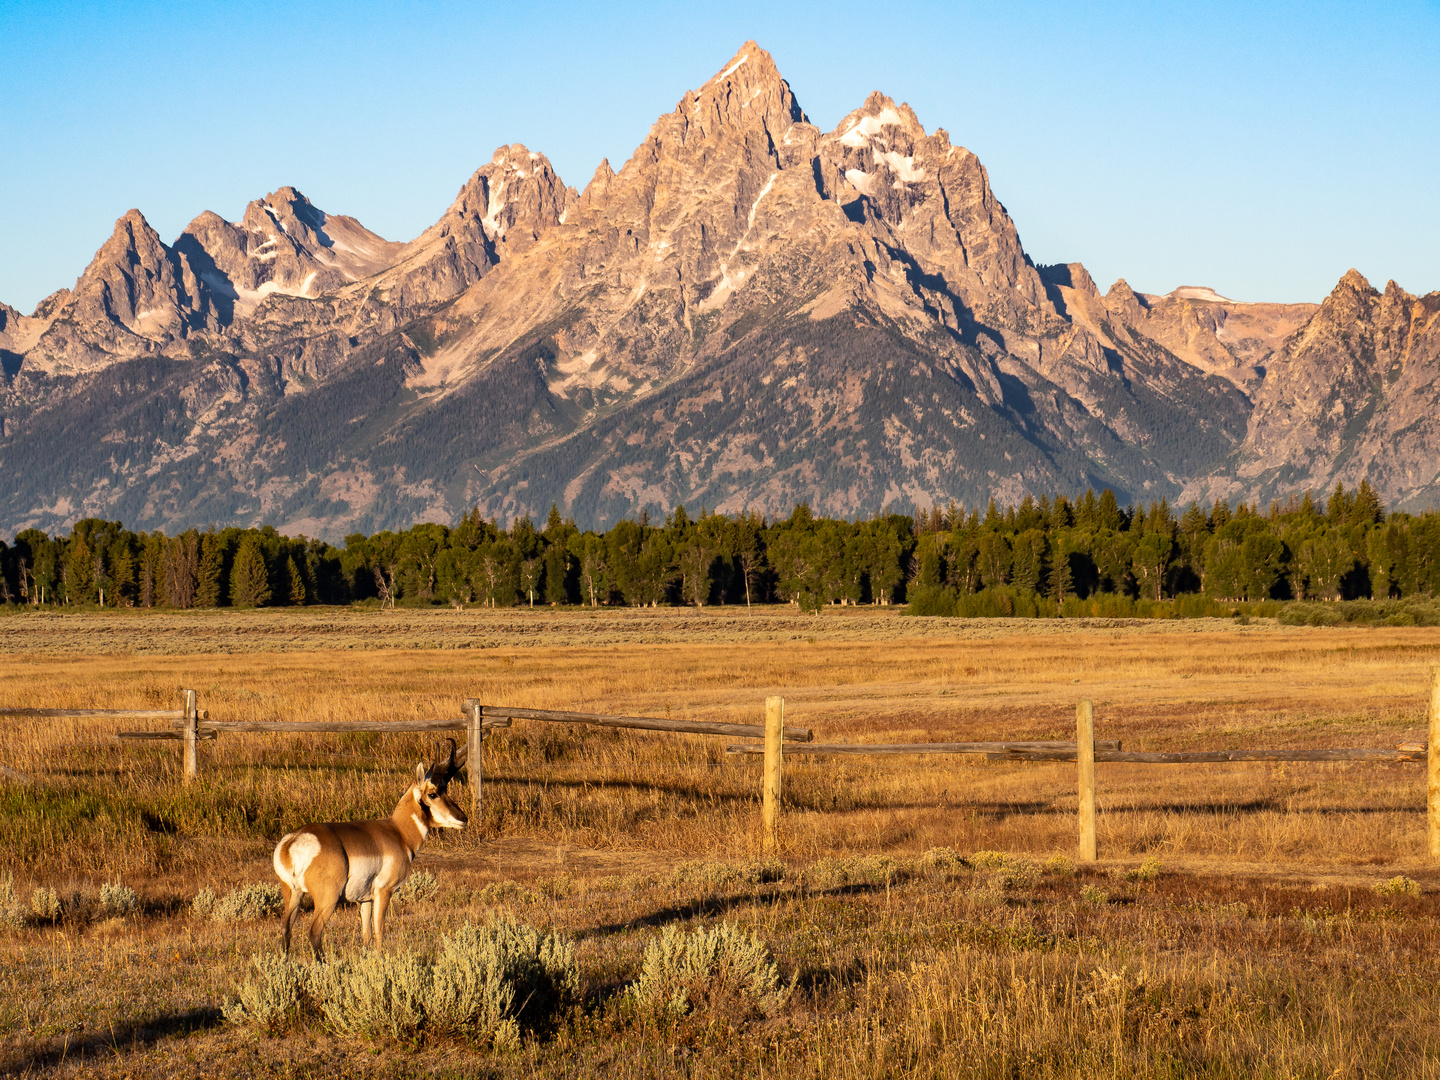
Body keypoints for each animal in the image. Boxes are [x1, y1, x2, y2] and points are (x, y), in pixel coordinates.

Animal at [272, 743, 469, 961]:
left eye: (446, 789)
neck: (398, 831)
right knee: (314, 932)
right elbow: (379, 930)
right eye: (433, 794)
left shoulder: (364, 900)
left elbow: (365, 933)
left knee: (286, 930)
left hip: (293, 894)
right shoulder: (384, 892)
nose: (463, 818)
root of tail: (293, 841)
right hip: (327, 900)